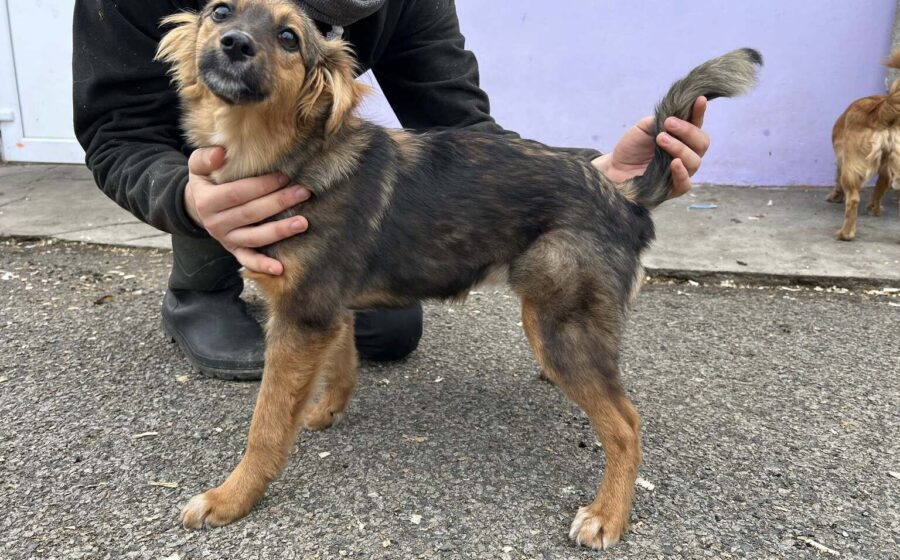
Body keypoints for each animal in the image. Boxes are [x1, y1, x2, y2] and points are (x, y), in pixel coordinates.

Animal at [828, 51, 900, 240]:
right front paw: (875, 208)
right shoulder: (886, 170)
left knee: (853, 199)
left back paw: (845, 234)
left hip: (851, 167)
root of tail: (879, 109)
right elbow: (879, 188)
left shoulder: (843, 162)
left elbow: (837, 178)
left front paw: (835, 195)